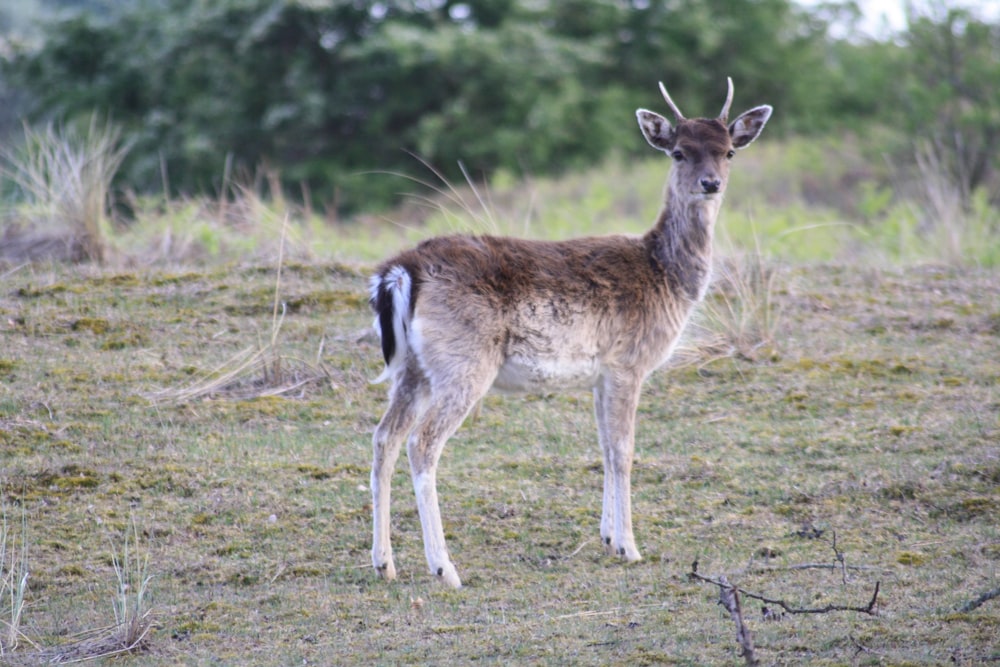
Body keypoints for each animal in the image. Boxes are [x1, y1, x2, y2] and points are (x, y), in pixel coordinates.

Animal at [368, 79, 772, 588]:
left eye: (728, 151)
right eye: (679, 152)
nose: (711, 183)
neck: (666, 276)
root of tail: (403, 270)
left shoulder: (600, 375)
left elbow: (603, 445)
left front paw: (608, 537)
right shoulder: (628, 363)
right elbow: (623, 449)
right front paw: (630, 547)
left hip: (413, 368)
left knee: (384, 438)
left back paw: (384, 563)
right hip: (464, 363)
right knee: (422, 444)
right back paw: (445, 568)